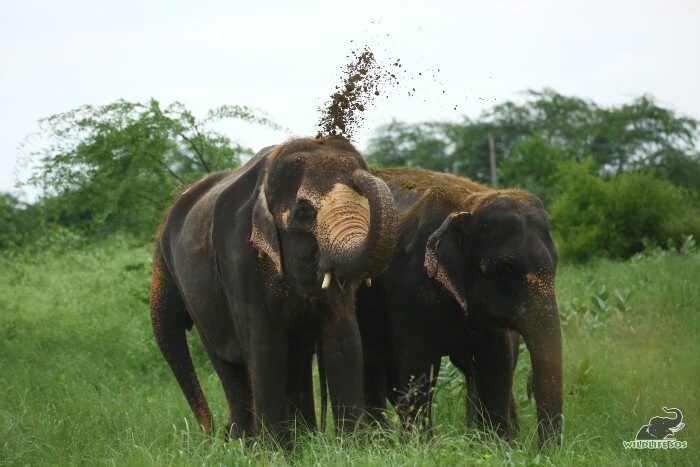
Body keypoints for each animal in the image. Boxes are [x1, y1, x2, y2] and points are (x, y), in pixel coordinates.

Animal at [150, 135, 396, 446]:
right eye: (304, 211)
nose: (363, 175)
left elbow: (344, 336)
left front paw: (350, 448)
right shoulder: (239, 258)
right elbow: (266, 345)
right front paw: (274, 451)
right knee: (226, 362)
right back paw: (243, 442)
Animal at [356, 166, 564, 448]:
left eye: (556, 262)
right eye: (506, 269)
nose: (542, 450)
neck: (468, 206)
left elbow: (495, 360)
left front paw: (497, 445)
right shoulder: (412, 286)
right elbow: (419, 363)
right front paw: (422, 447)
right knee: (373, 365)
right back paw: (376, 441)